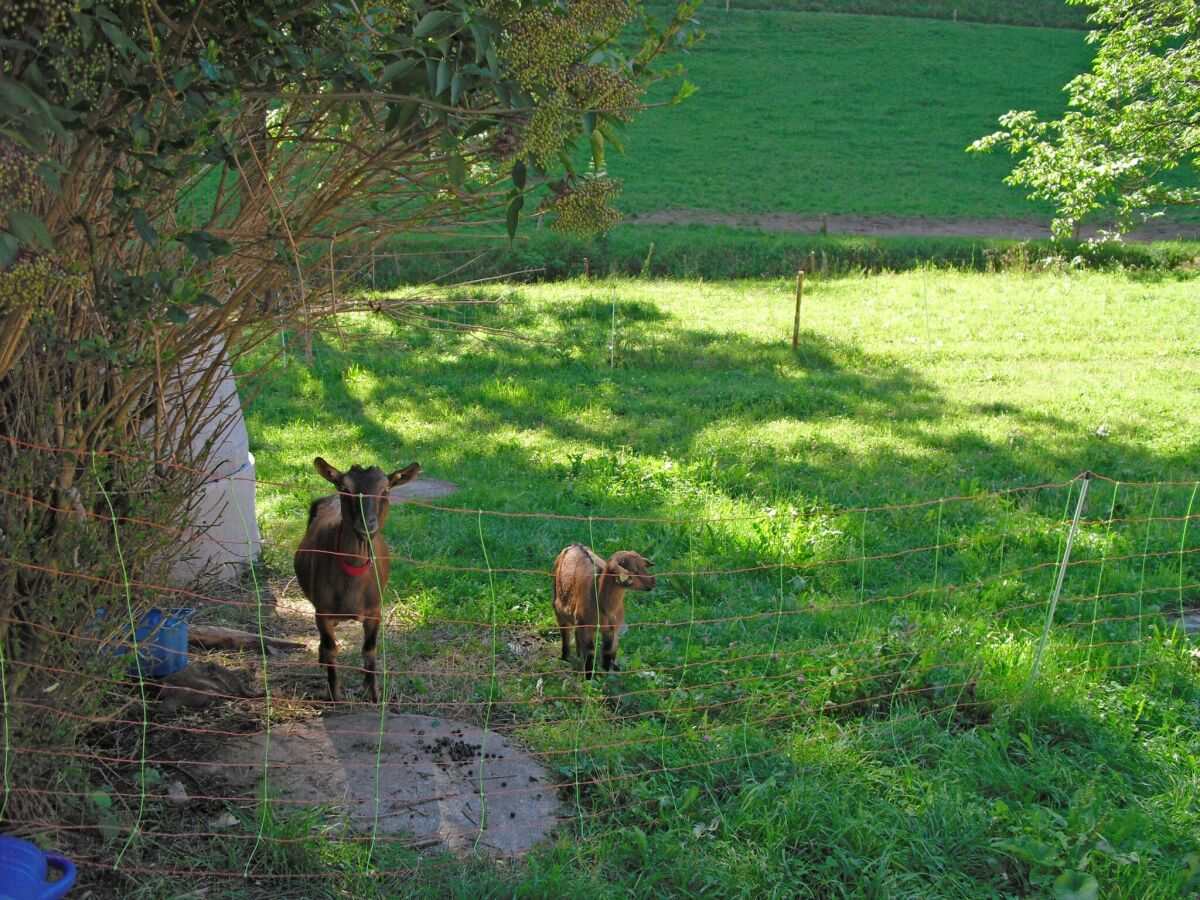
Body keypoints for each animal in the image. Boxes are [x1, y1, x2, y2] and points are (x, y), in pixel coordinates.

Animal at [292, 458, 420, 705]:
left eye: (385, 488)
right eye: (345, 487)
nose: (366, 524)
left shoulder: (375, 610)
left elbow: (369, 650)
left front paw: (373, 692)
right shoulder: (322, 611)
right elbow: (331, 649)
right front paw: (334, 693)